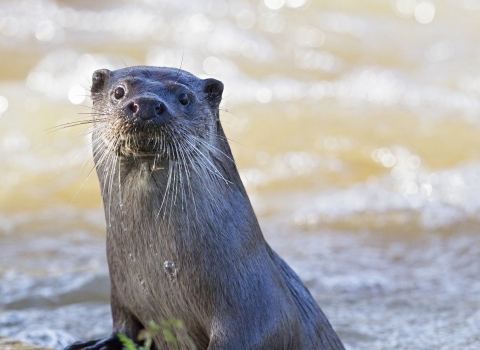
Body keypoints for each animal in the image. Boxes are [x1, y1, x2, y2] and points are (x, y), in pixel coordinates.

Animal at [64, 66, 344, 350]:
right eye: (119, 92)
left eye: (184, 97)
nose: (146, 104)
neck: (160, 266)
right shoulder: (122, 299)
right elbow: (122, 331)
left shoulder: (259, 312)